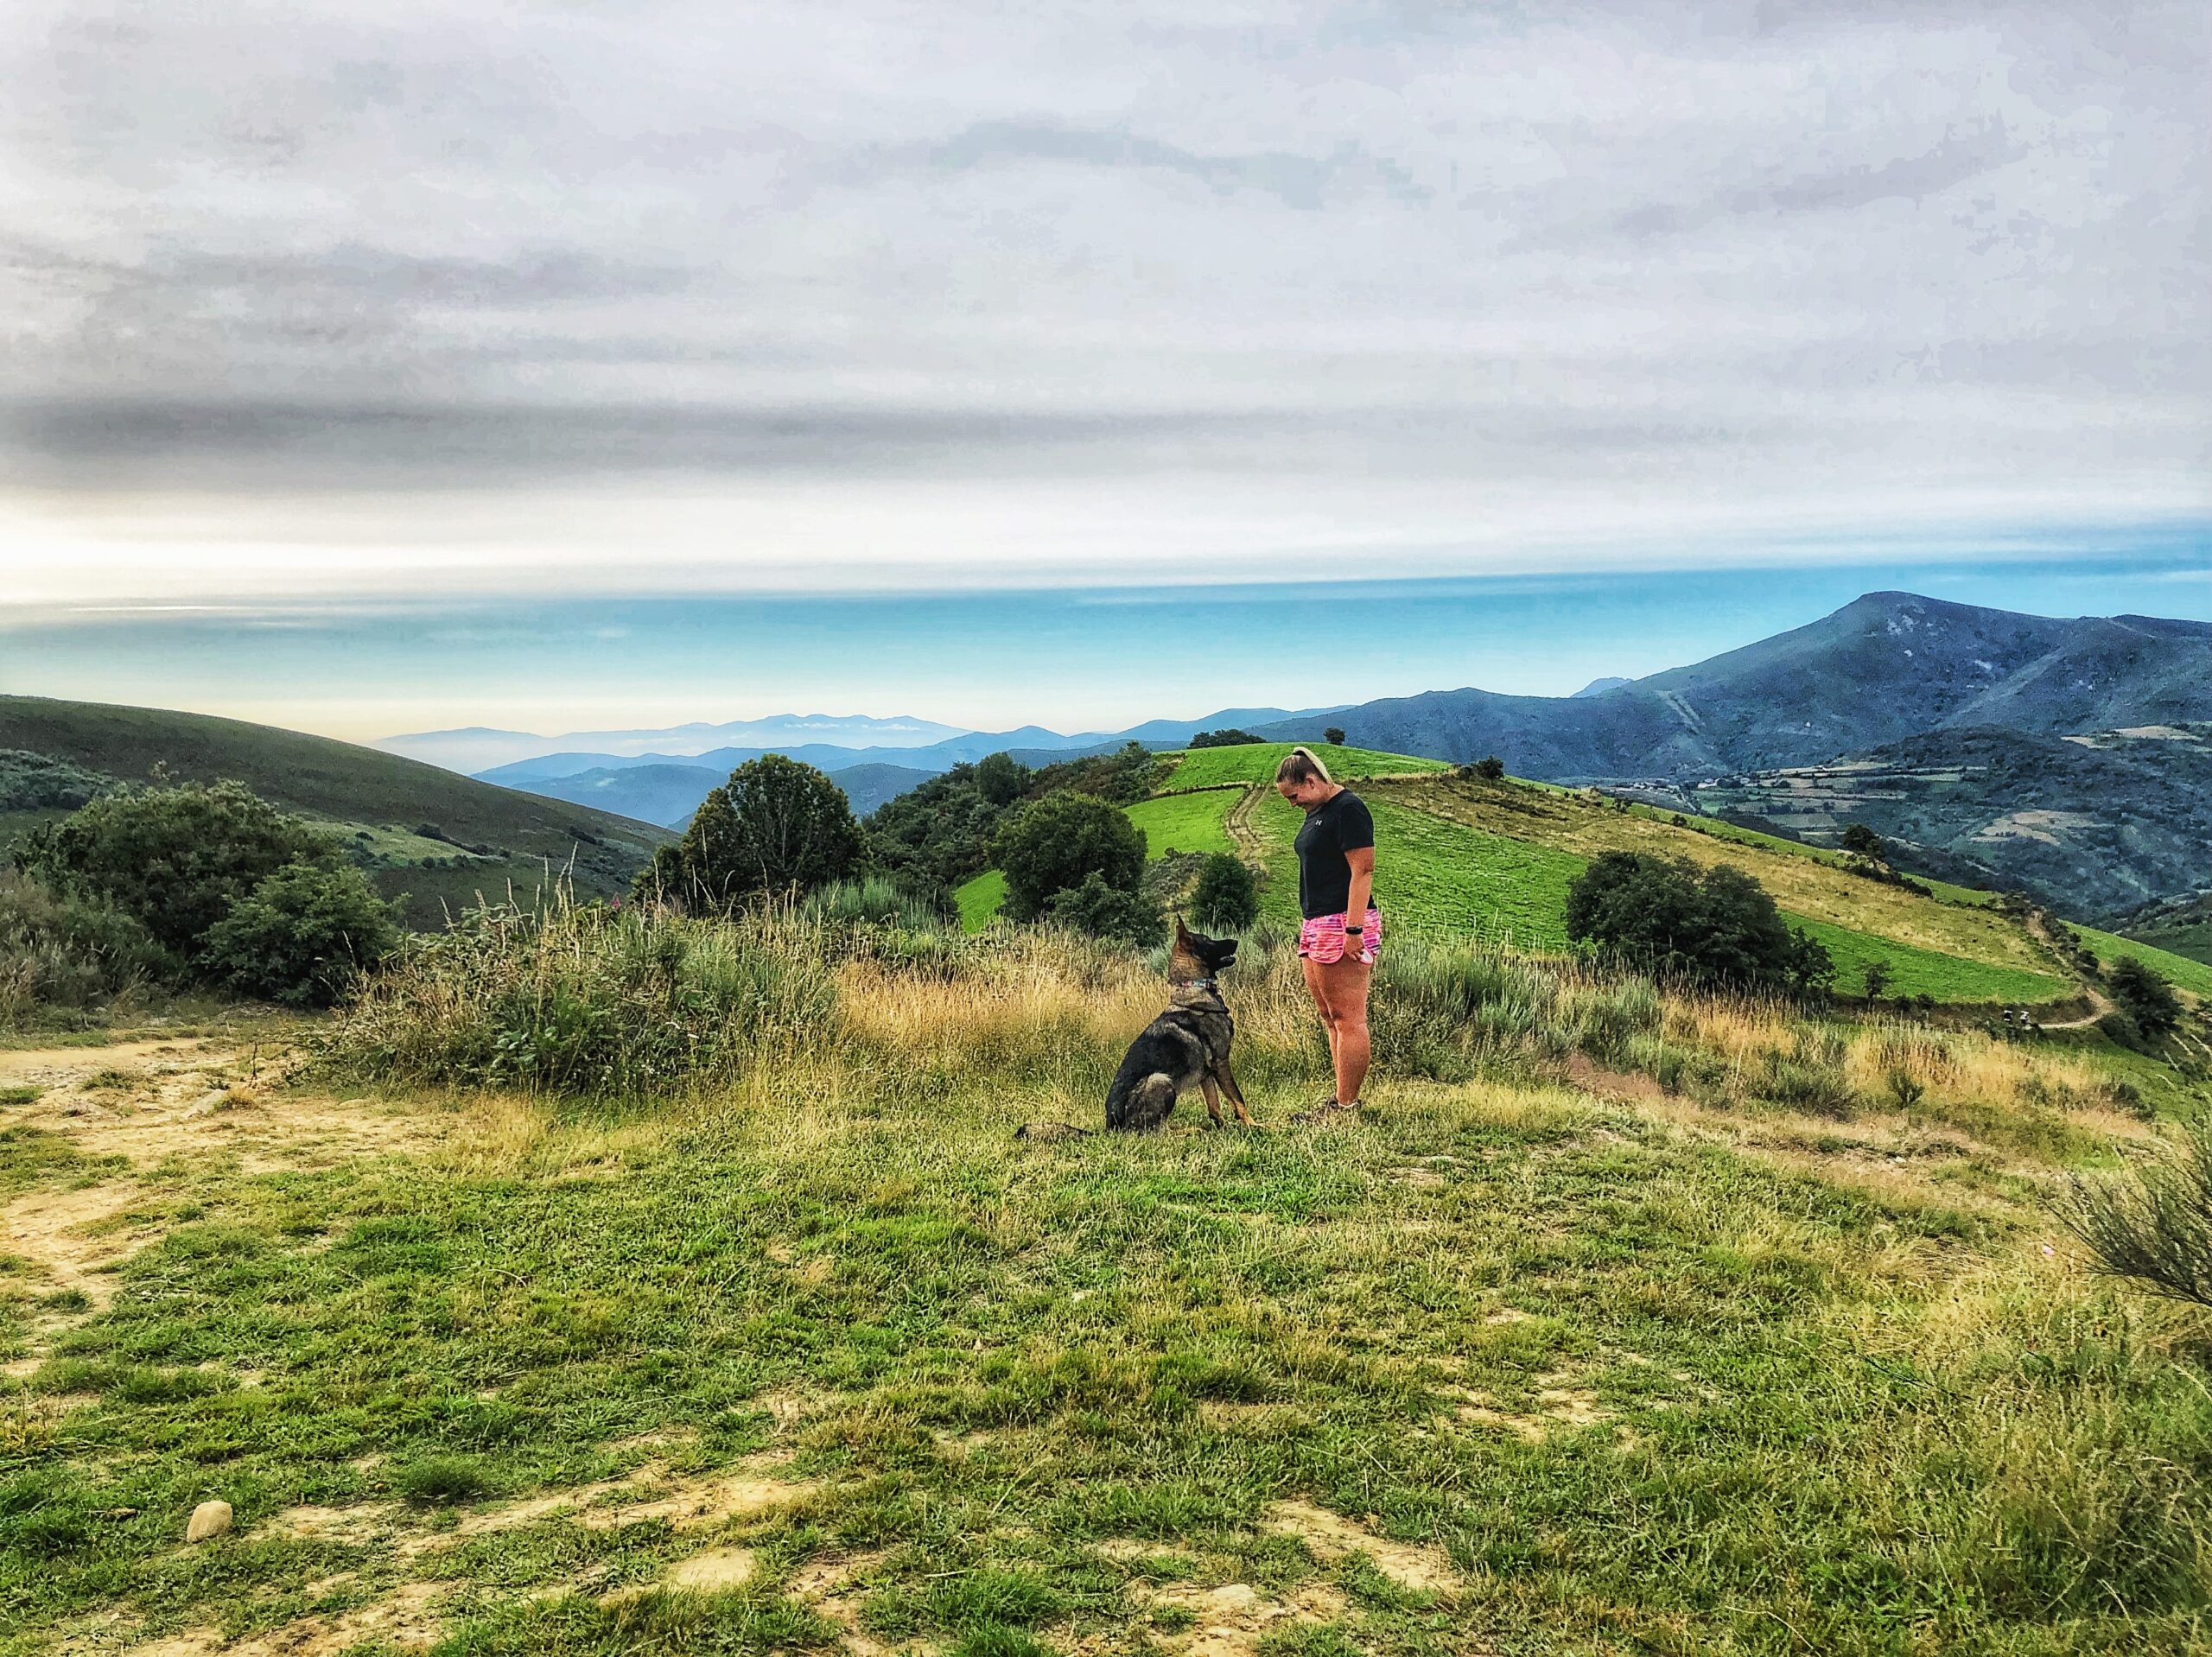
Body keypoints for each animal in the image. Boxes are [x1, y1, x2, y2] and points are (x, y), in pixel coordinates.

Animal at [1101, 911, 1256, 1133]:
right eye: (1208, 940)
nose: (1235, 940)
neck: (1194, 988)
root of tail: (1111, 1125)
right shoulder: (1221, 1061)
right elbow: (1237, 1097)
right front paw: (1254, 1125)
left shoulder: (1206, 1073)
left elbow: (1214, 1104)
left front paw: (1222, 1127)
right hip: (1161, 1081)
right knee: (1153, 1131)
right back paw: (1189, 1131)